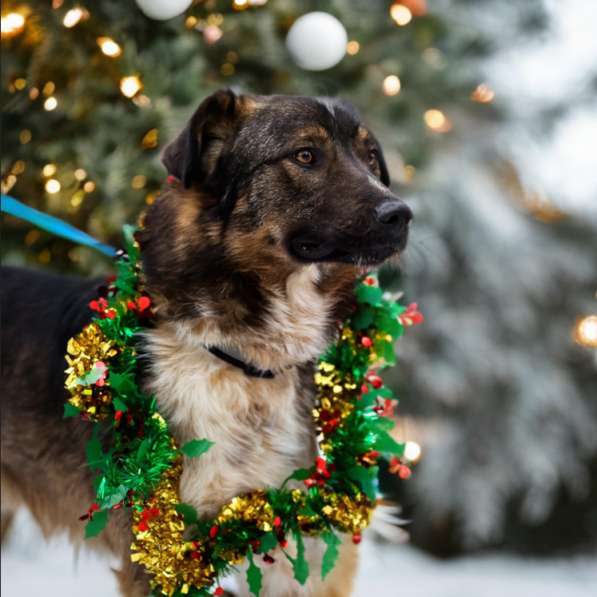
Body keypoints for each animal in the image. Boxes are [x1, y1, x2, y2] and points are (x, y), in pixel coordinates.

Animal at [1, 89, 410, 596]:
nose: (401, 215)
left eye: (370, 157)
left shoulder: (307, 546)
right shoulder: (162, 555)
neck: (251, 364)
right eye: (305, 155)